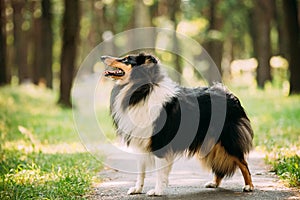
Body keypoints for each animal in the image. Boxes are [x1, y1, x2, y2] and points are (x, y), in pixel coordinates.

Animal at [101, 52, 253, 195]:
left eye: (126, 59)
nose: (102, 57)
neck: (142, 90)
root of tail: (229, 95)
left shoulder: (159, 141)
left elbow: (159, 171)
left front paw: (157, 191)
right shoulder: (141, 142)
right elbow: (141, 171)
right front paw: (138, 189)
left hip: (227, 139)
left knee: (243, 162)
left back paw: (249, 186)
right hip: (211, 142)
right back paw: (214, 183)